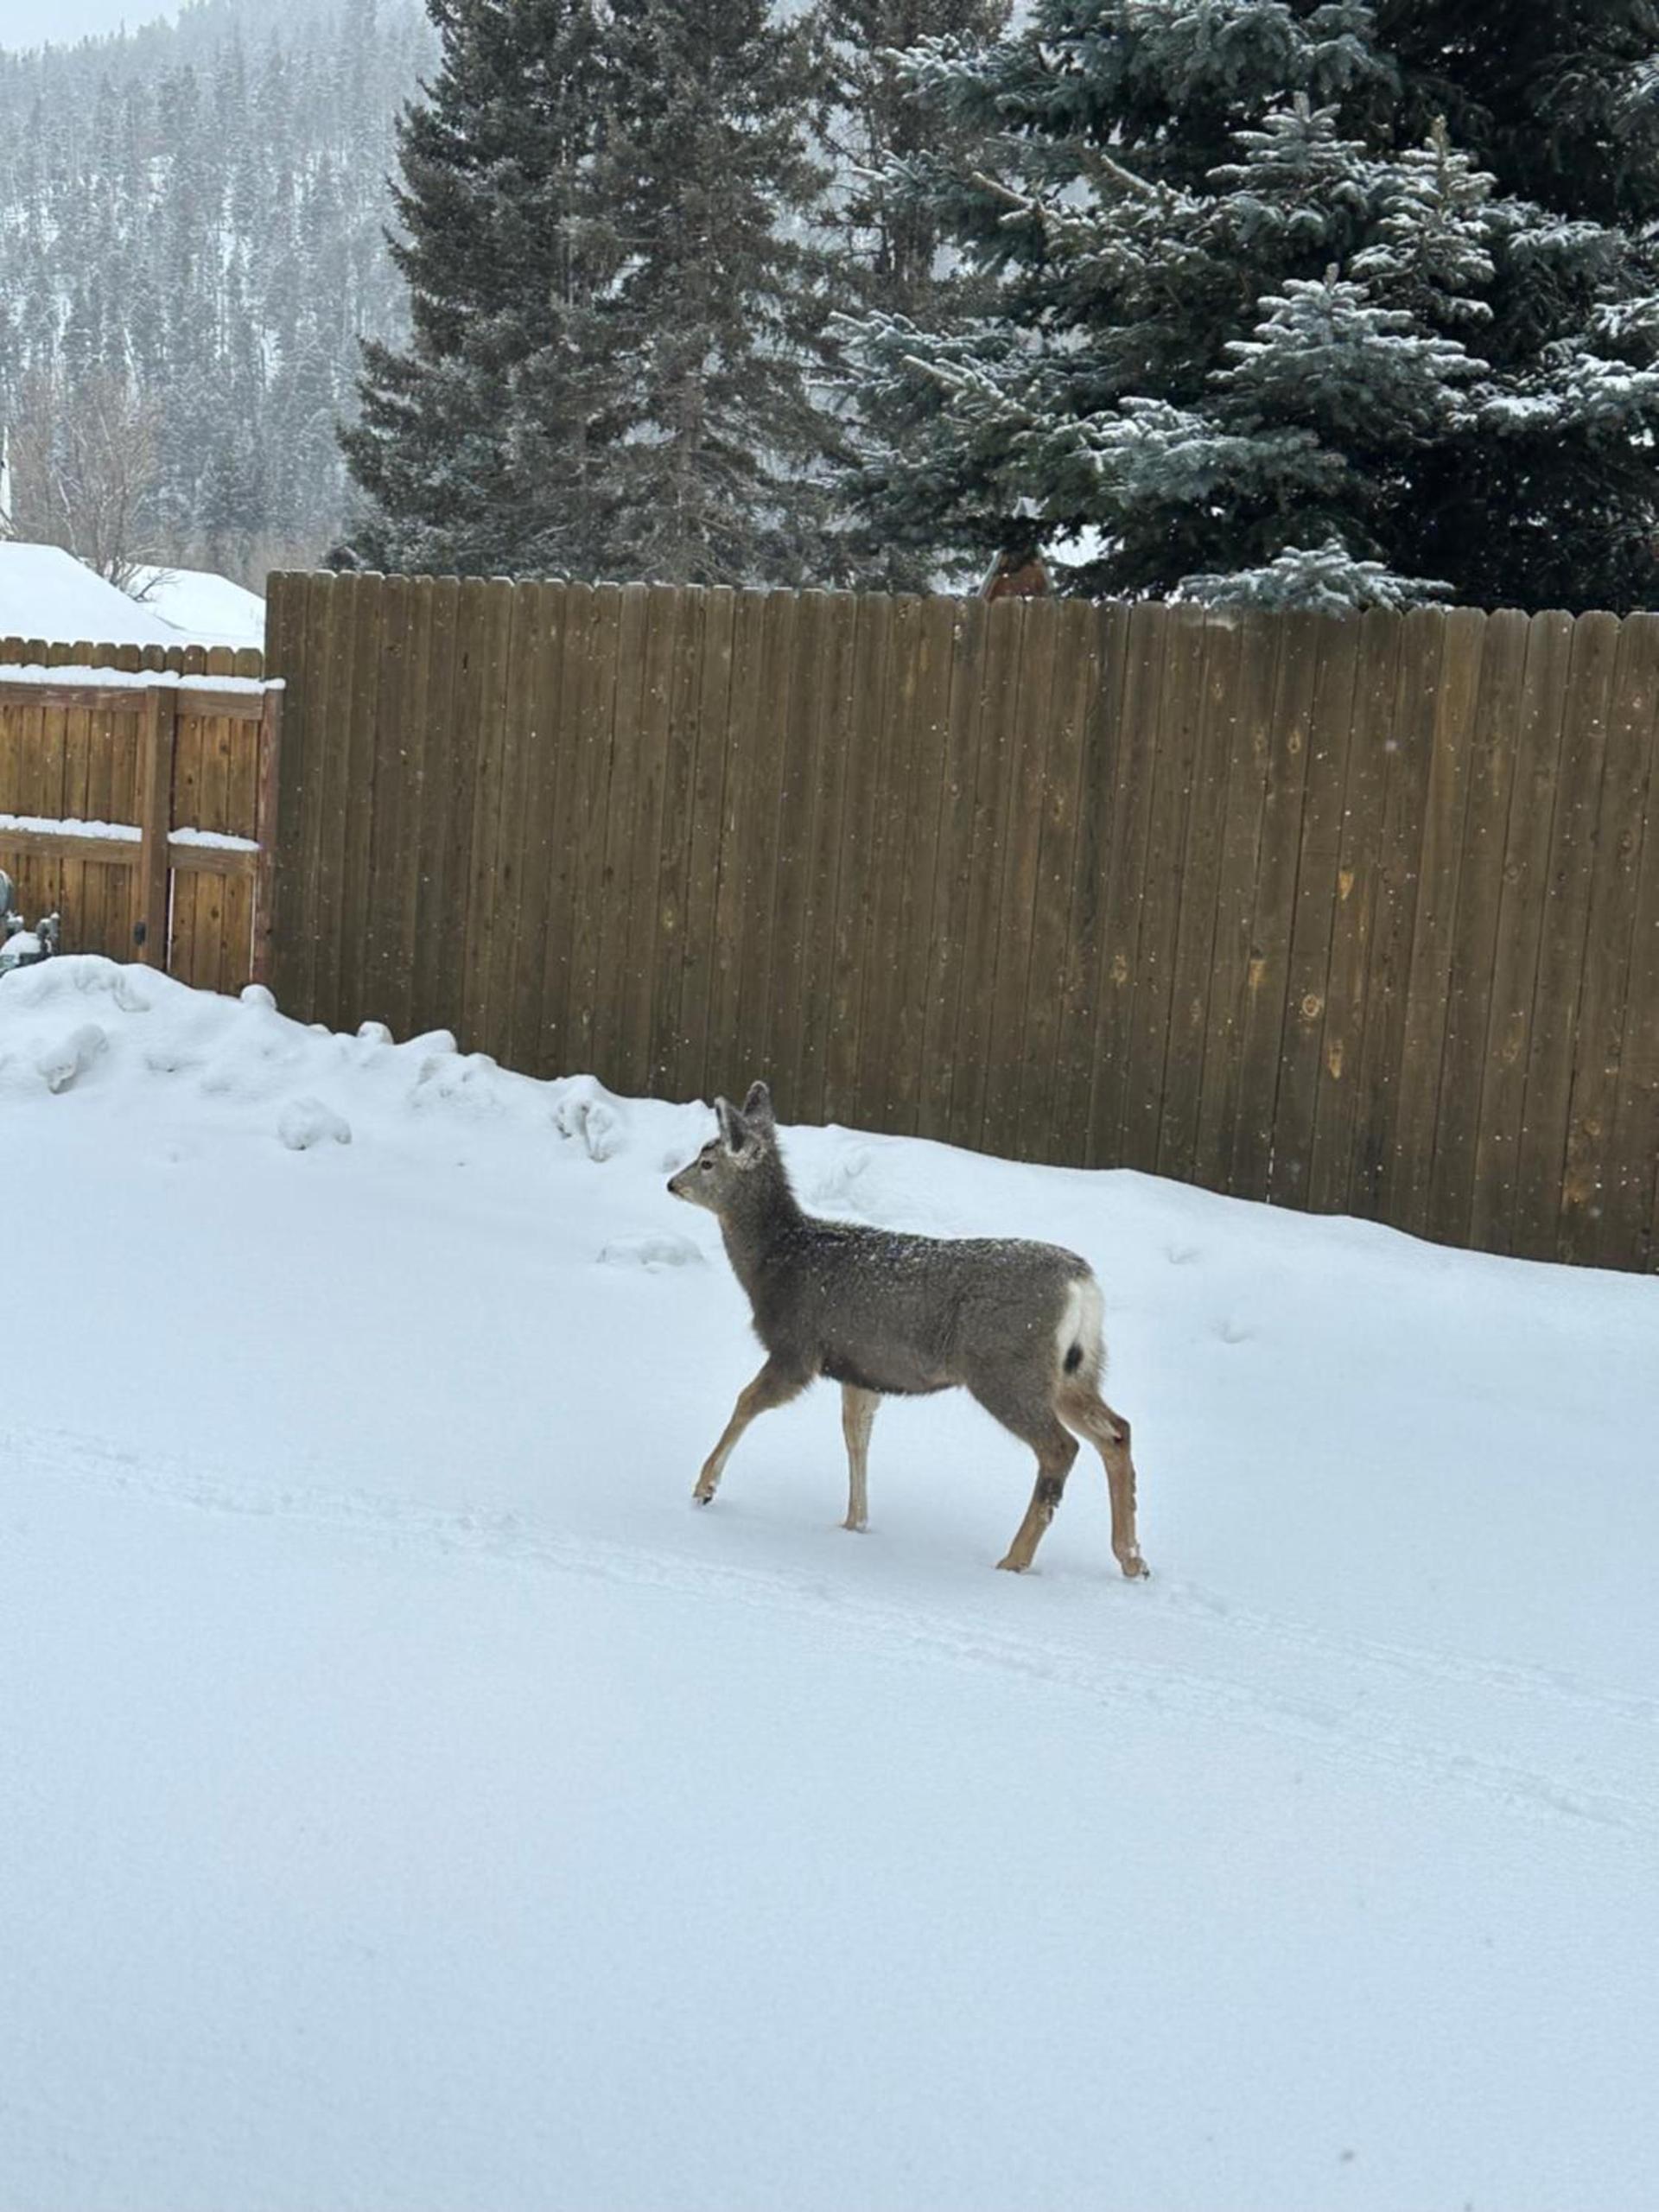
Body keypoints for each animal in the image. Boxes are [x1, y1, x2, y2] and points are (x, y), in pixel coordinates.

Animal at [666, 1082, 1149, 1580]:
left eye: (707, 1160)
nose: (672, 1183)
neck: (777, 1263)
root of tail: (1083, 1284)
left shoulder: (797, 1347)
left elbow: (746, 1401)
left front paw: (704, 1487)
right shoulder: (859, 1368)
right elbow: (856, 1436)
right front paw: (854, 1523)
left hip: (1006, 1367)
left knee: (1060, 1447)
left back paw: (1014, 1560)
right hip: (1075, 1369)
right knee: (1117, 1431)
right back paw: (1132, 1558)